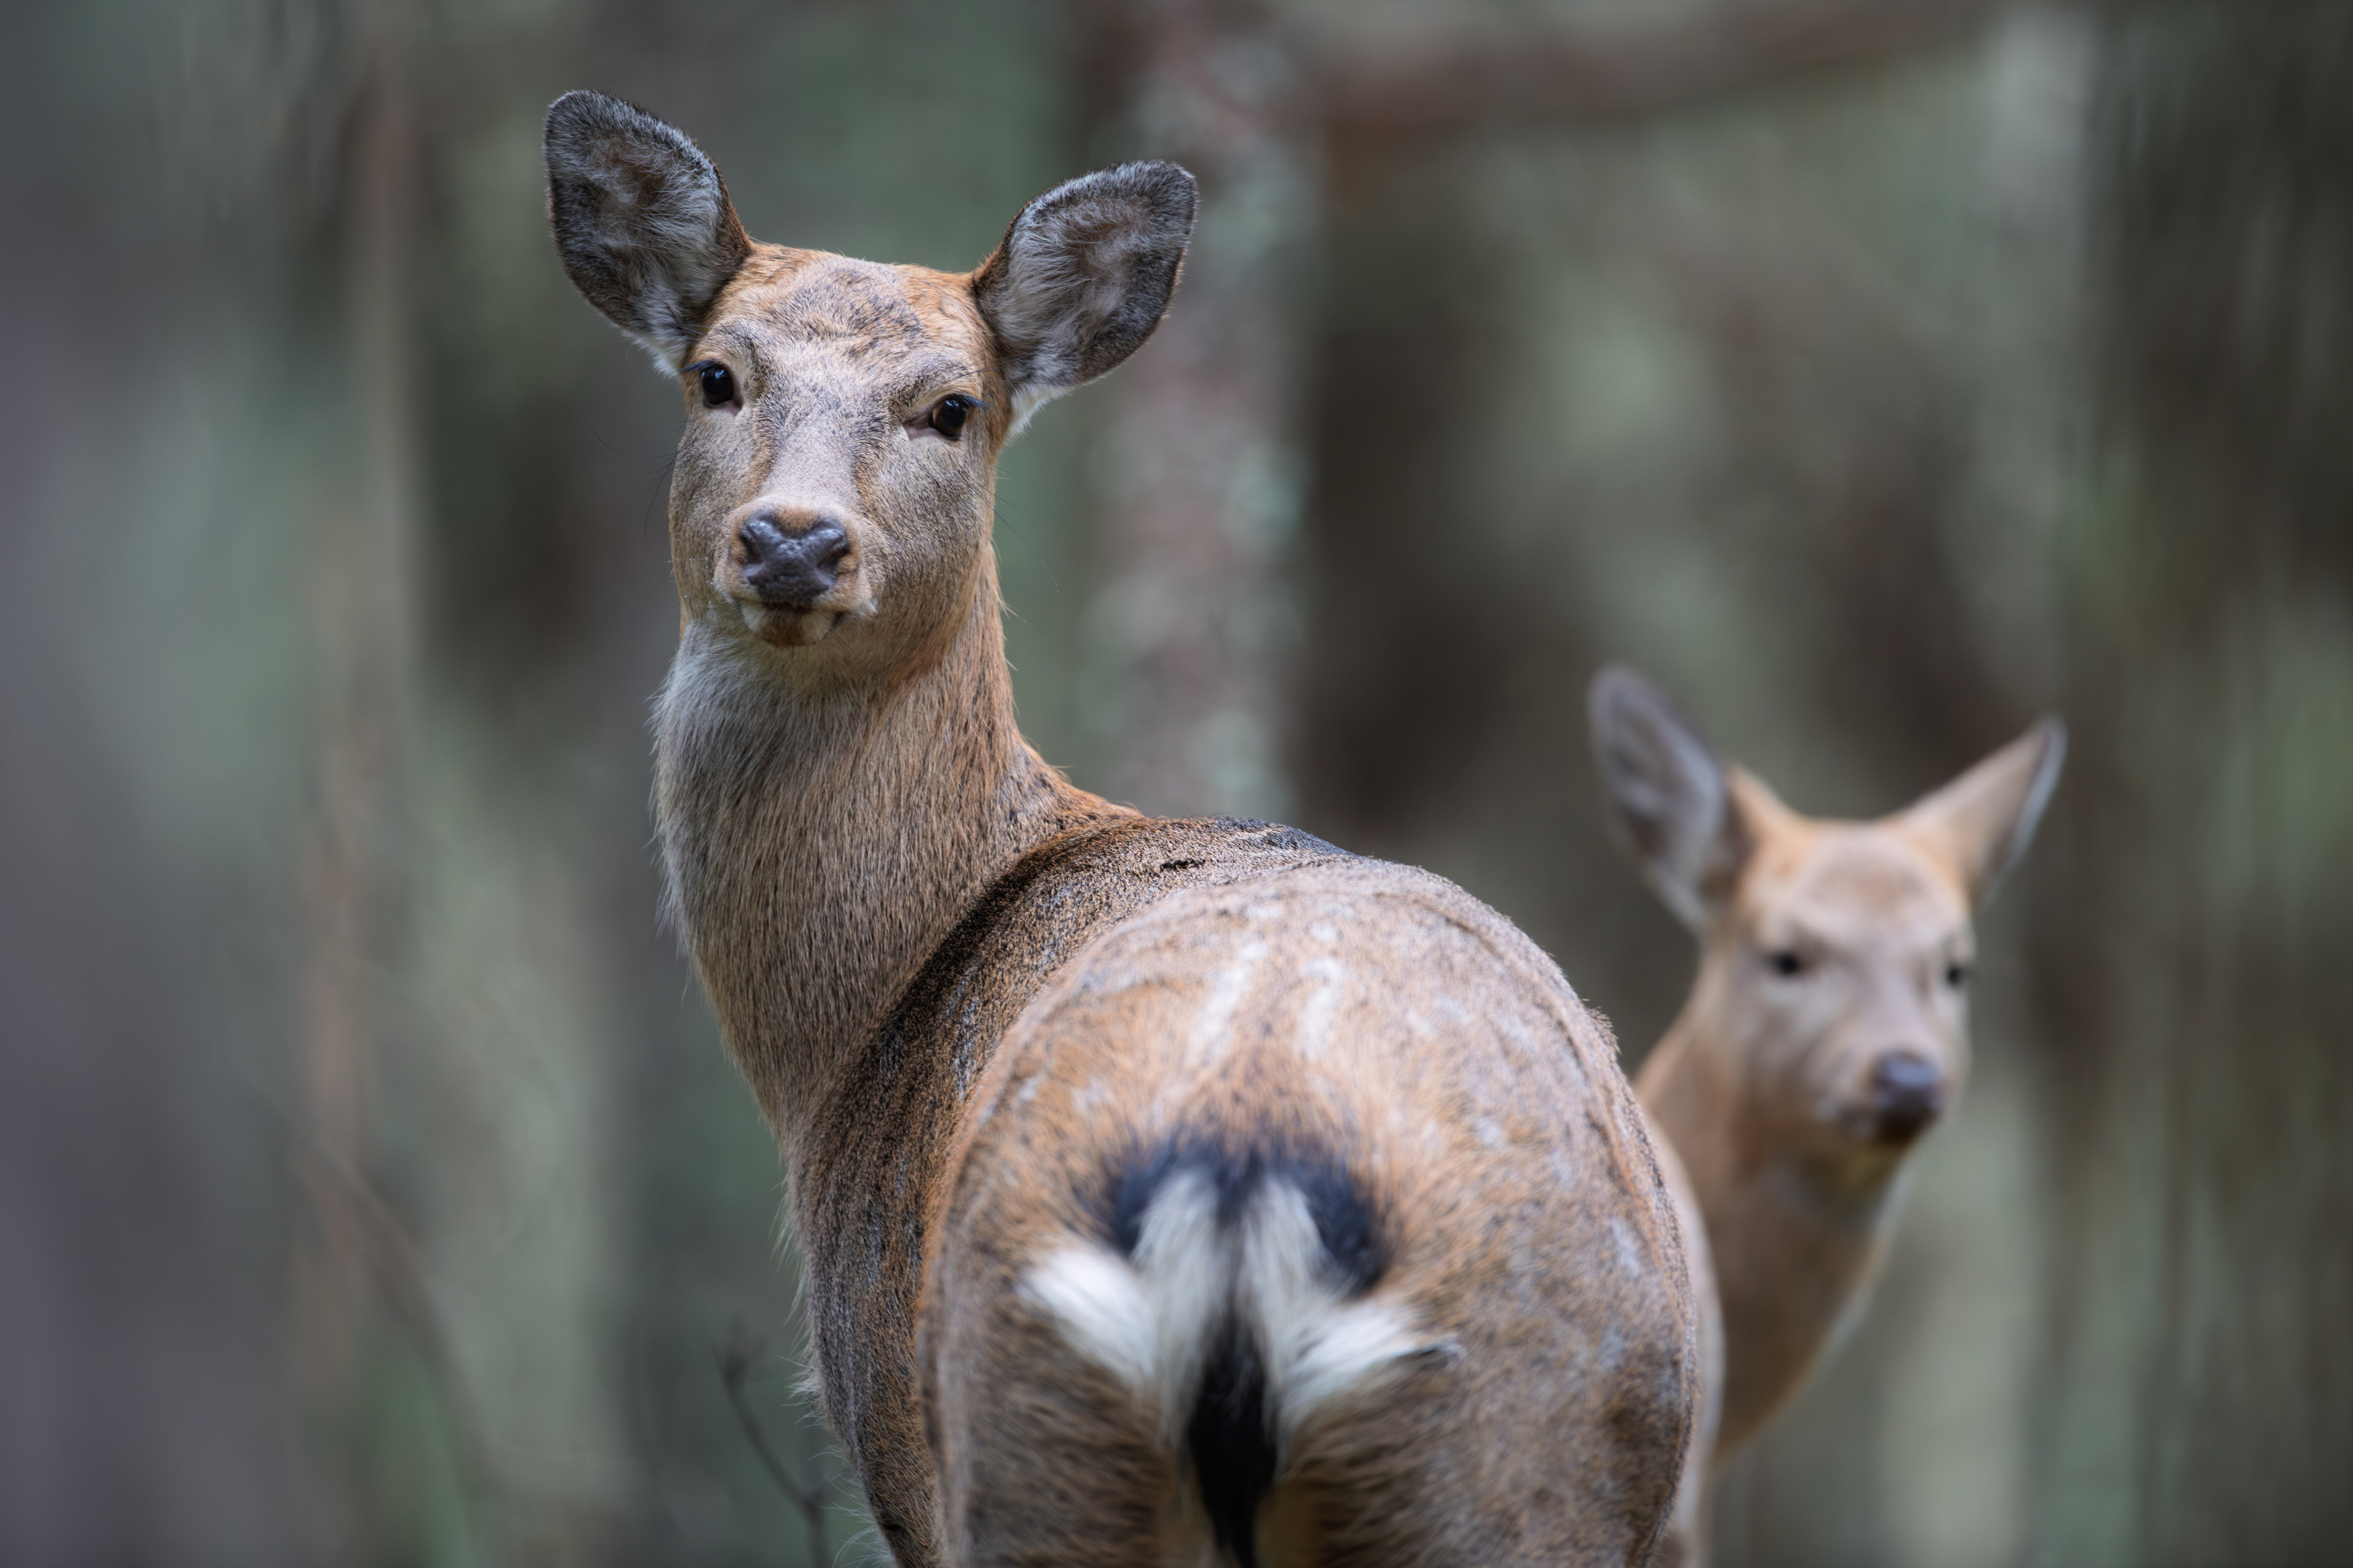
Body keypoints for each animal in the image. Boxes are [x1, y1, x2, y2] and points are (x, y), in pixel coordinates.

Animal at [544, 91, 1701, 1567]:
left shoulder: (895, 1447)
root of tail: (1245, 1178)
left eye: (952, 406)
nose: (794, 540)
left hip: (1034, 1423)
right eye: (714, 376)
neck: (849, 1045)